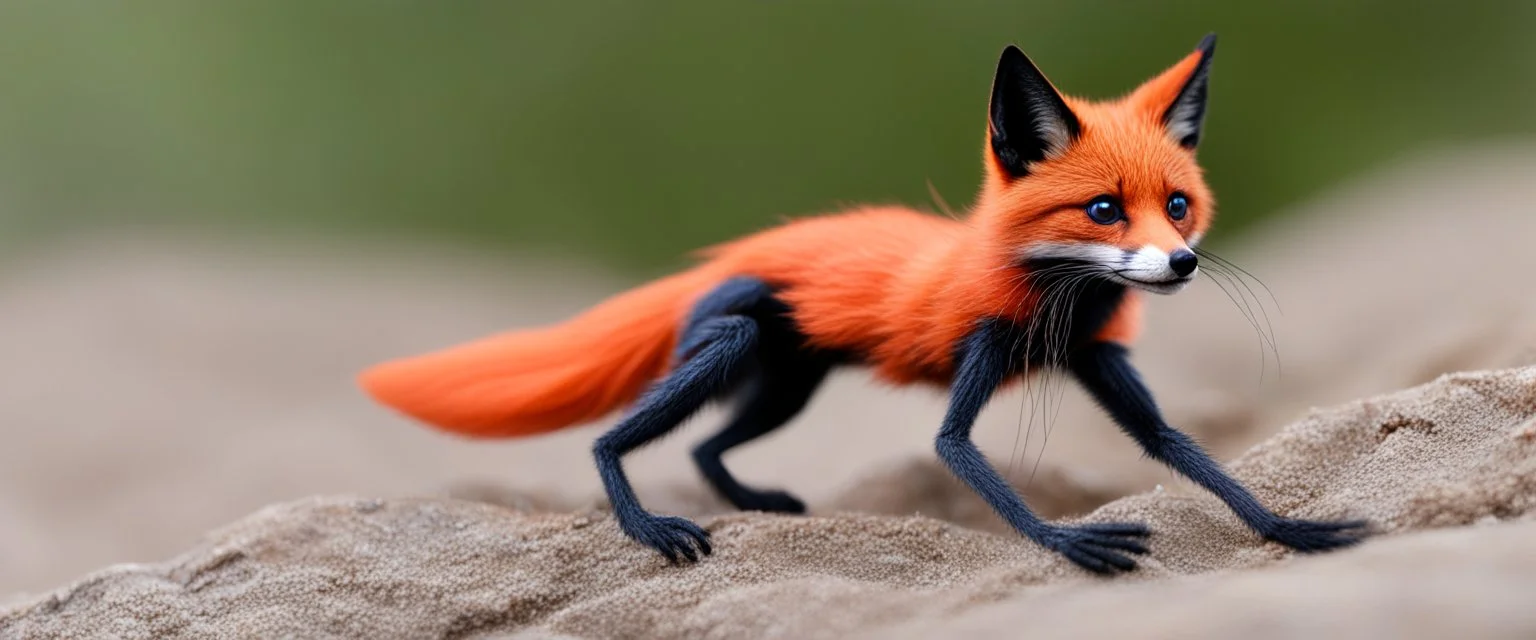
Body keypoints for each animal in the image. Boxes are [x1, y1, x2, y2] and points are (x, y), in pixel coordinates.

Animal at [359, 34, 1367, 574]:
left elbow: (1185, 452)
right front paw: (1066, 541)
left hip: (785, 386)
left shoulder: (1098, 360)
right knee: (613, 439)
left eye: (1179, 205)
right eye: (1103, 210)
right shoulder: (982, 360)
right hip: (735, 344)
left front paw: (1295, 529)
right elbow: (959, 450)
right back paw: (648, 527)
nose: (1181, 263)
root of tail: (736, 251)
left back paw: (762, 504)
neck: (1055, 296)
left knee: (705, 448)